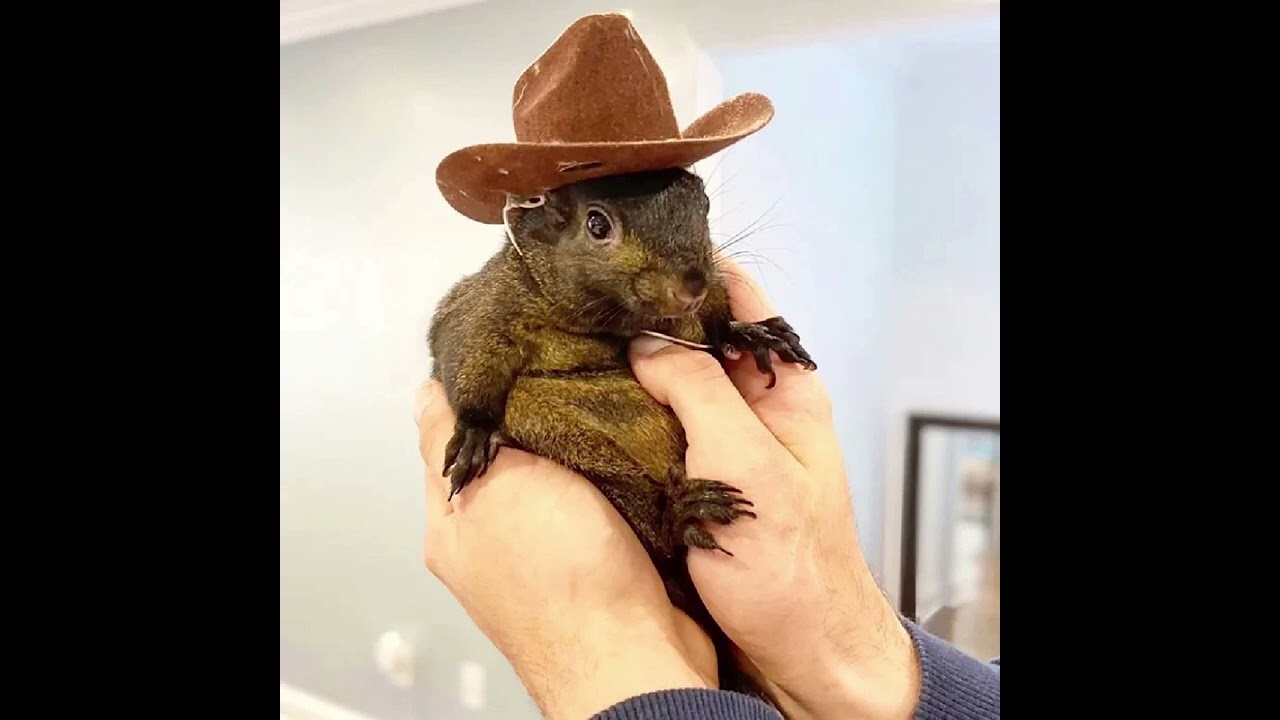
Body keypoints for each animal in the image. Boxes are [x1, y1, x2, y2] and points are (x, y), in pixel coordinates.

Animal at [427, 166, 817, 706]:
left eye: (703, 203)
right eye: (596, 224)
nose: (691, 285)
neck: (614, 321)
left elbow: (717, 324)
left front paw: (752, 332)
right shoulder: (485, 307)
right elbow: (464, 351)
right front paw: (475, 430)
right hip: (557, 432)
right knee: (656, 531)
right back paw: (679, 514)